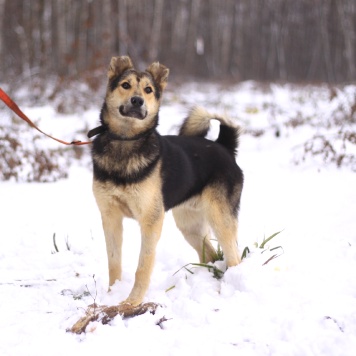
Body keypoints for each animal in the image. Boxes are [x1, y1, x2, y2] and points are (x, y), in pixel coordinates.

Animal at [89, 55, 245, 306]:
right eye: (125, 85)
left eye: (148, 90)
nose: (137, 101)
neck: (126, 141)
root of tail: (224, 146)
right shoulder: (110, 216)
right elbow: (113, 262)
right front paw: (111, 296)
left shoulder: (151, 221)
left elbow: (143, 266)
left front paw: (132, 302)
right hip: (189, 224)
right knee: (211, 255)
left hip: (220, 218)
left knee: (234, 258)